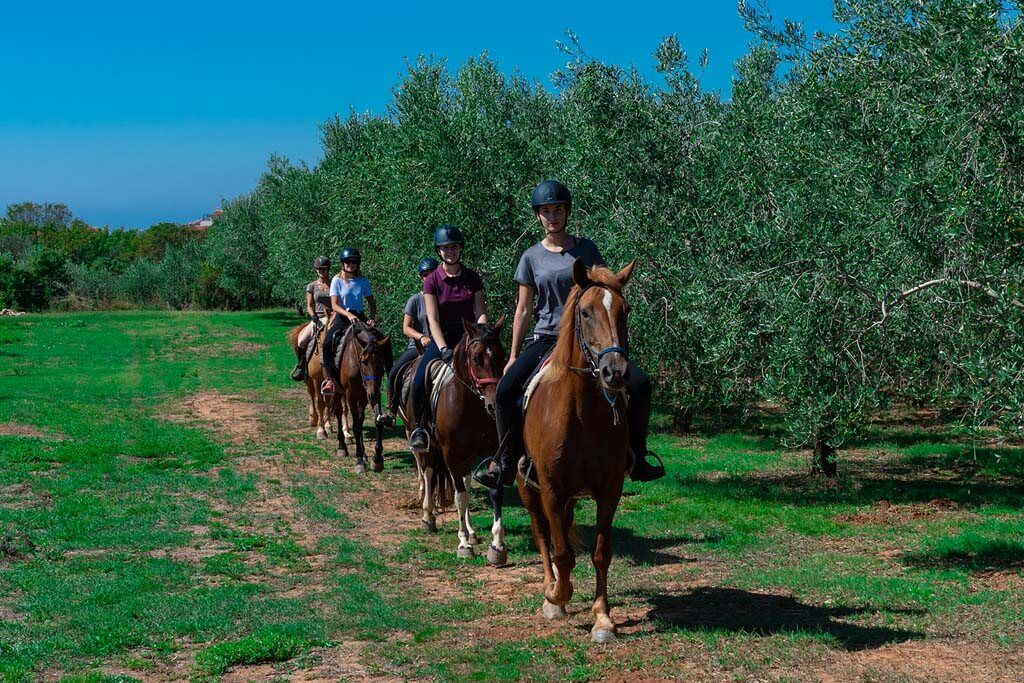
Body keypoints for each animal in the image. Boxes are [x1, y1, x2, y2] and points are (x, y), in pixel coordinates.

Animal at [399, 318, 507, 560]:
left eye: (502, 355)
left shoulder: (489, 452)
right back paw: (428, 517)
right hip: (427, 445)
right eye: (476, 358)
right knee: (429, 472)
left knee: (463, 482)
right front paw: (464, 544)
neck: (471, 405)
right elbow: (459, 497)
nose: (493, 404)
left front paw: (497, 545)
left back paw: (472, 531)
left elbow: (491, 490)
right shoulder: (450, 453)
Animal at [518, 258, 636, 644]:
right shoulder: (551, 489)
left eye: (624, 311)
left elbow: (600, 553)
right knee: (542, 533)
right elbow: (561, 552)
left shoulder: (609, 489)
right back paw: (551, 588)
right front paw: (556, 597)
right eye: (585, 312)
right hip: (528, 487)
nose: (615, 372)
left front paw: (603, 619)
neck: (581, 413)